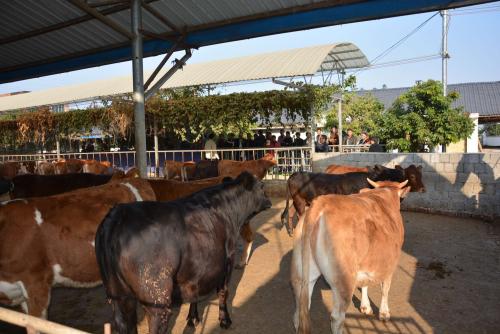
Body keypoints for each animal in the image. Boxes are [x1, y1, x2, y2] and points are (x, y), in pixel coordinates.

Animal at [95, 172, 272, 334]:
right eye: (261, 186)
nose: (269, 201)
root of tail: (117, 216)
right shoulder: (227, 259)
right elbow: (224, 291)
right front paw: (225, 320)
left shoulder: (197, 267)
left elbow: (195, 292)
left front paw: (193, 318)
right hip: (156, 297)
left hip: (118, 296)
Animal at [280, 166, 408, 236]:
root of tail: (294, 174)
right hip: (299, 200)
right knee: (299, 215)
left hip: (297, 200)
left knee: (291, 211)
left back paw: (291, 232)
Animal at [292, 180, 410, 334]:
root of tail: (319, 204)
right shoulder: (391, 263)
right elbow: (385, 288)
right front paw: (384, 313)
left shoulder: (366, 263)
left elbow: (365, 284)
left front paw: (365, 307)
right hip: (344, 279)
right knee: (337, 317)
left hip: (300, 274)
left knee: (299, 309)